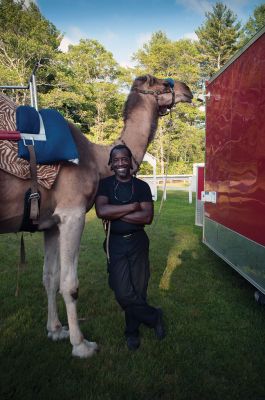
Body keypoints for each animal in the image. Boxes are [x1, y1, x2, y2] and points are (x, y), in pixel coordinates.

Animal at [0, 73, 192, 358]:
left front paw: (56, 330)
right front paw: (81, 345)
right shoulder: (73, 213)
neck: (97, 159)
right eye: (160, 82)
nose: (187, 89)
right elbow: (69, 284)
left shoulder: (51, 223)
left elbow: (49, 277)